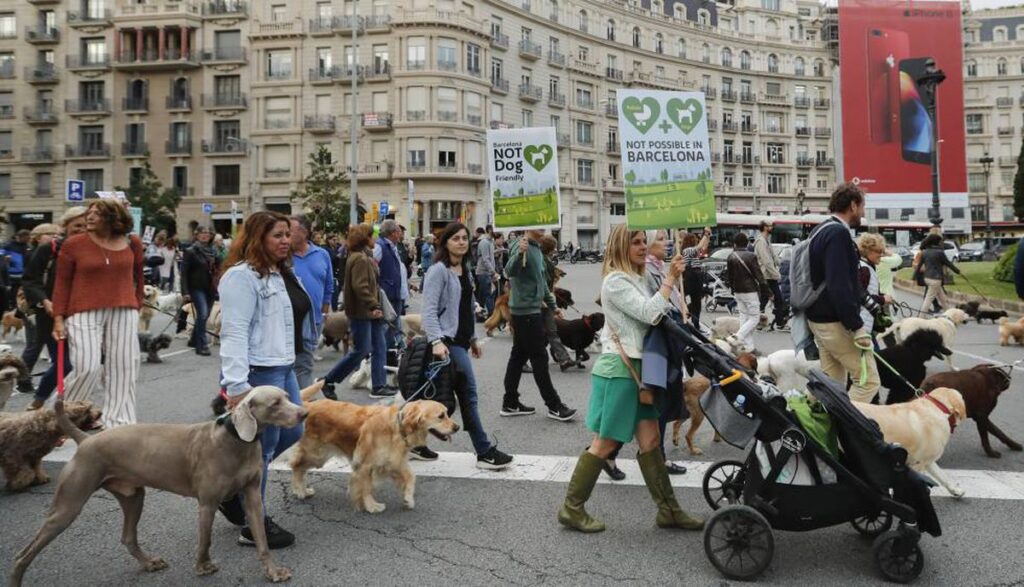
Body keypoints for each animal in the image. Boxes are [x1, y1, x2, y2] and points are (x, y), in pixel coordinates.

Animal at [9, 387, 307, 581]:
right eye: (275, 403)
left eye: (287, 397)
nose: (303, 413)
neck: (237, 441)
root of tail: (85, 439)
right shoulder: (207, 503)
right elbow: (205, 539)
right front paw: (203, 566)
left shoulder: (253, 495)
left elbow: (261, 539)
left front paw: (273, 572)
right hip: (69, 502)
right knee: (23, 554)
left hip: (133, 495)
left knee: (128, 537)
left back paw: (150, 562)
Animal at [292, 383, 460, 510]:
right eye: (441, 416)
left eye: (447, 413)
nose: (457, 427)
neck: (397, 427)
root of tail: (306, 405)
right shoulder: (365, 464)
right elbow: (366, 487)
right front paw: (372, 506)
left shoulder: (394, 461)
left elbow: (411, 476)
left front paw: (408, 499)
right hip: (317, 454)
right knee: (296, 466)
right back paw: (300, 490)